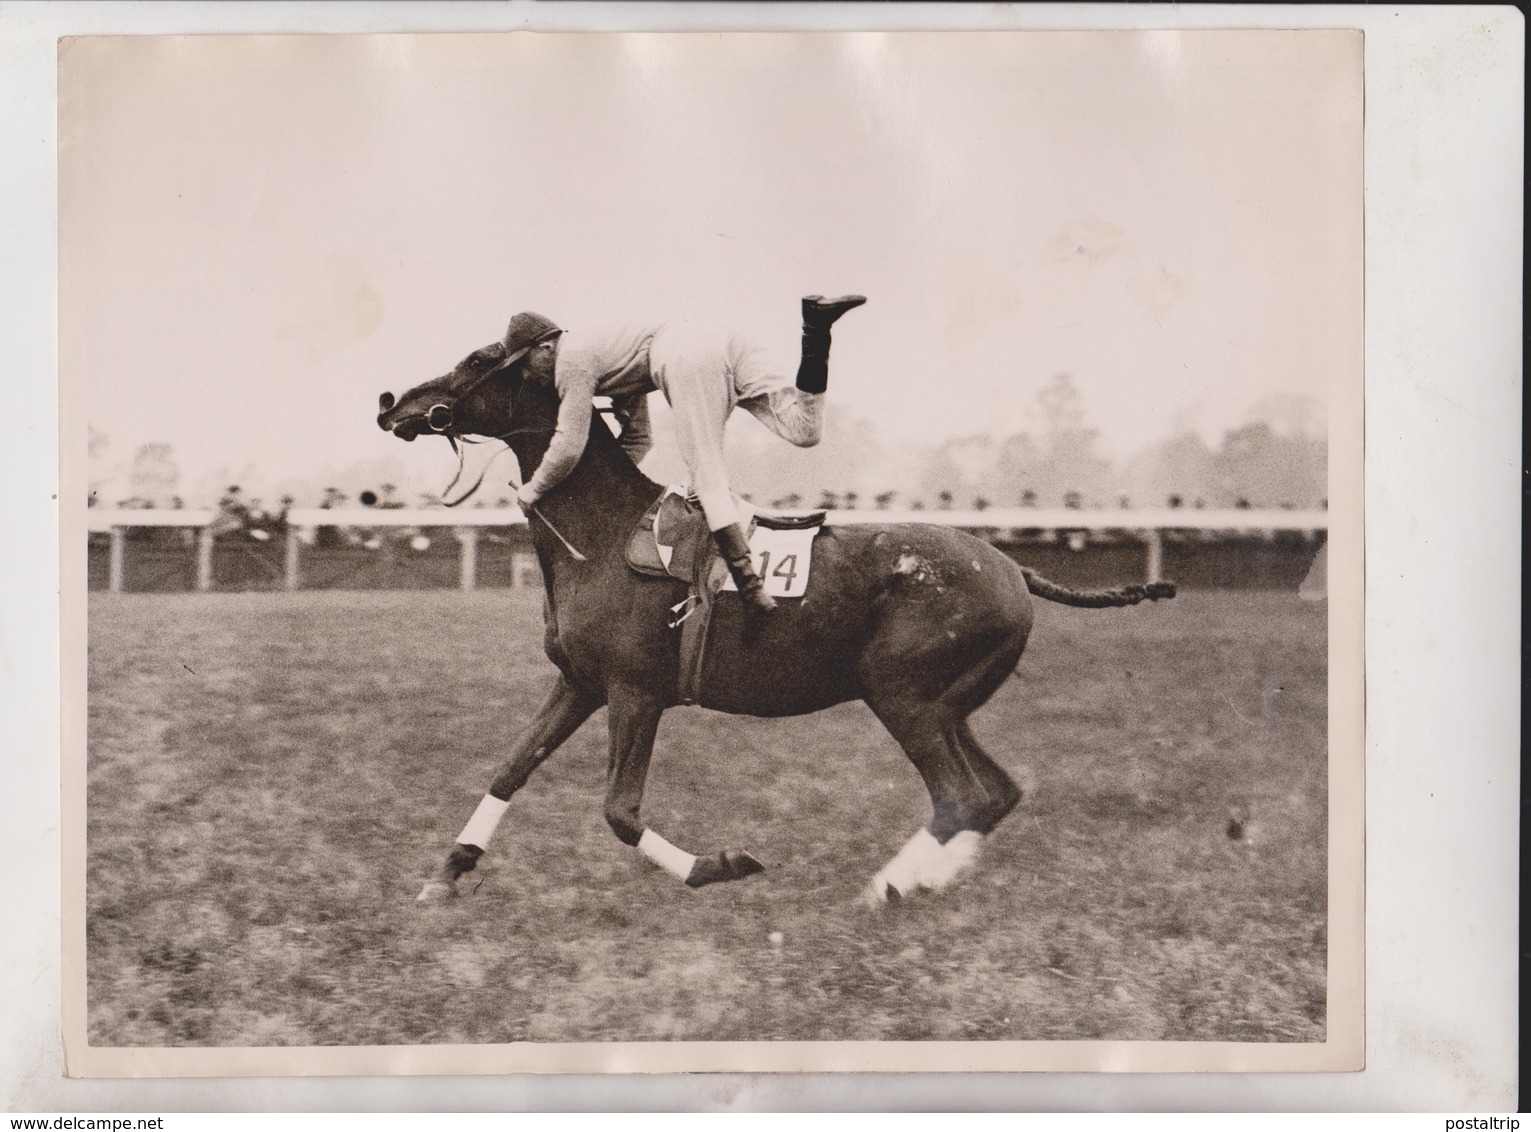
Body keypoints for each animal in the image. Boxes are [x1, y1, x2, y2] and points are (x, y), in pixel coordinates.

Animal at [379, 349, 1169, 906]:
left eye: (477, 361)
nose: (393, 404)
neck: (602, 538)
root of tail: (1014, 568)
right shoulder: (579, 683)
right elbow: (511, 768)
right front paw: (448, 872)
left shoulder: (634, 693)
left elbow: (620, 811)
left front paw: (718, 865)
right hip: (948, 706)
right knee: (997, 793)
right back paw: (929, 879)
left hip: (903, 698)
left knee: (962, 797)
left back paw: (888, 887)